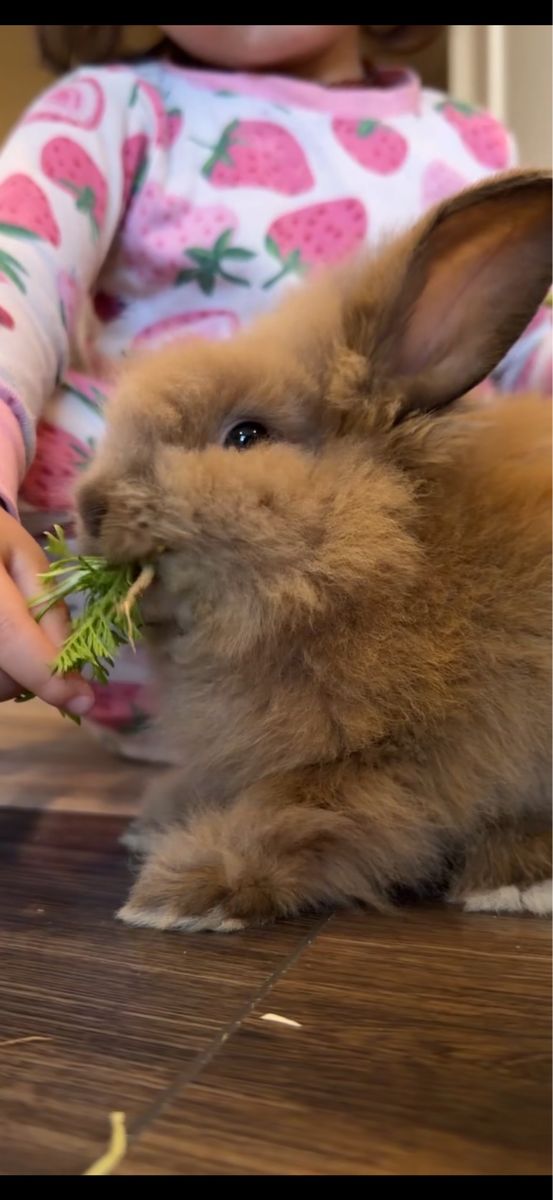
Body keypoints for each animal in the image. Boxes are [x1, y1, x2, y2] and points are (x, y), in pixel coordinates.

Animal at [77, 169, 552, 932]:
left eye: (246, 435)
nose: (89, 508)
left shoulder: (391, 765)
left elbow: (296, 815)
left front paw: (180, 893)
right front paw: (154, 820)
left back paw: (515, 879)